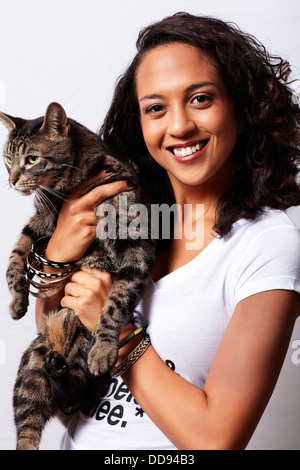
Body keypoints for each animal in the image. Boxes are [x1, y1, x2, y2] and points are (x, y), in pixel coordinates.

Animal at [0, 102, 155, 448]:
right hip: (33, 364)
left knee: (72, 396)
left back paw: (76, 366)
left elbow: (116, 301)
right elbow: (17, 252)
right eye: (7, 158)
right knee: (32, 425)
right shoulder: (42, 220)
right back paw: (57, 372)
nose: (12, 180)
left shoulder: (135, 246)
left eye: (32, 159)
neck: (64, 190)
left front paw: (105, 347)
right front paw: (17, 301)